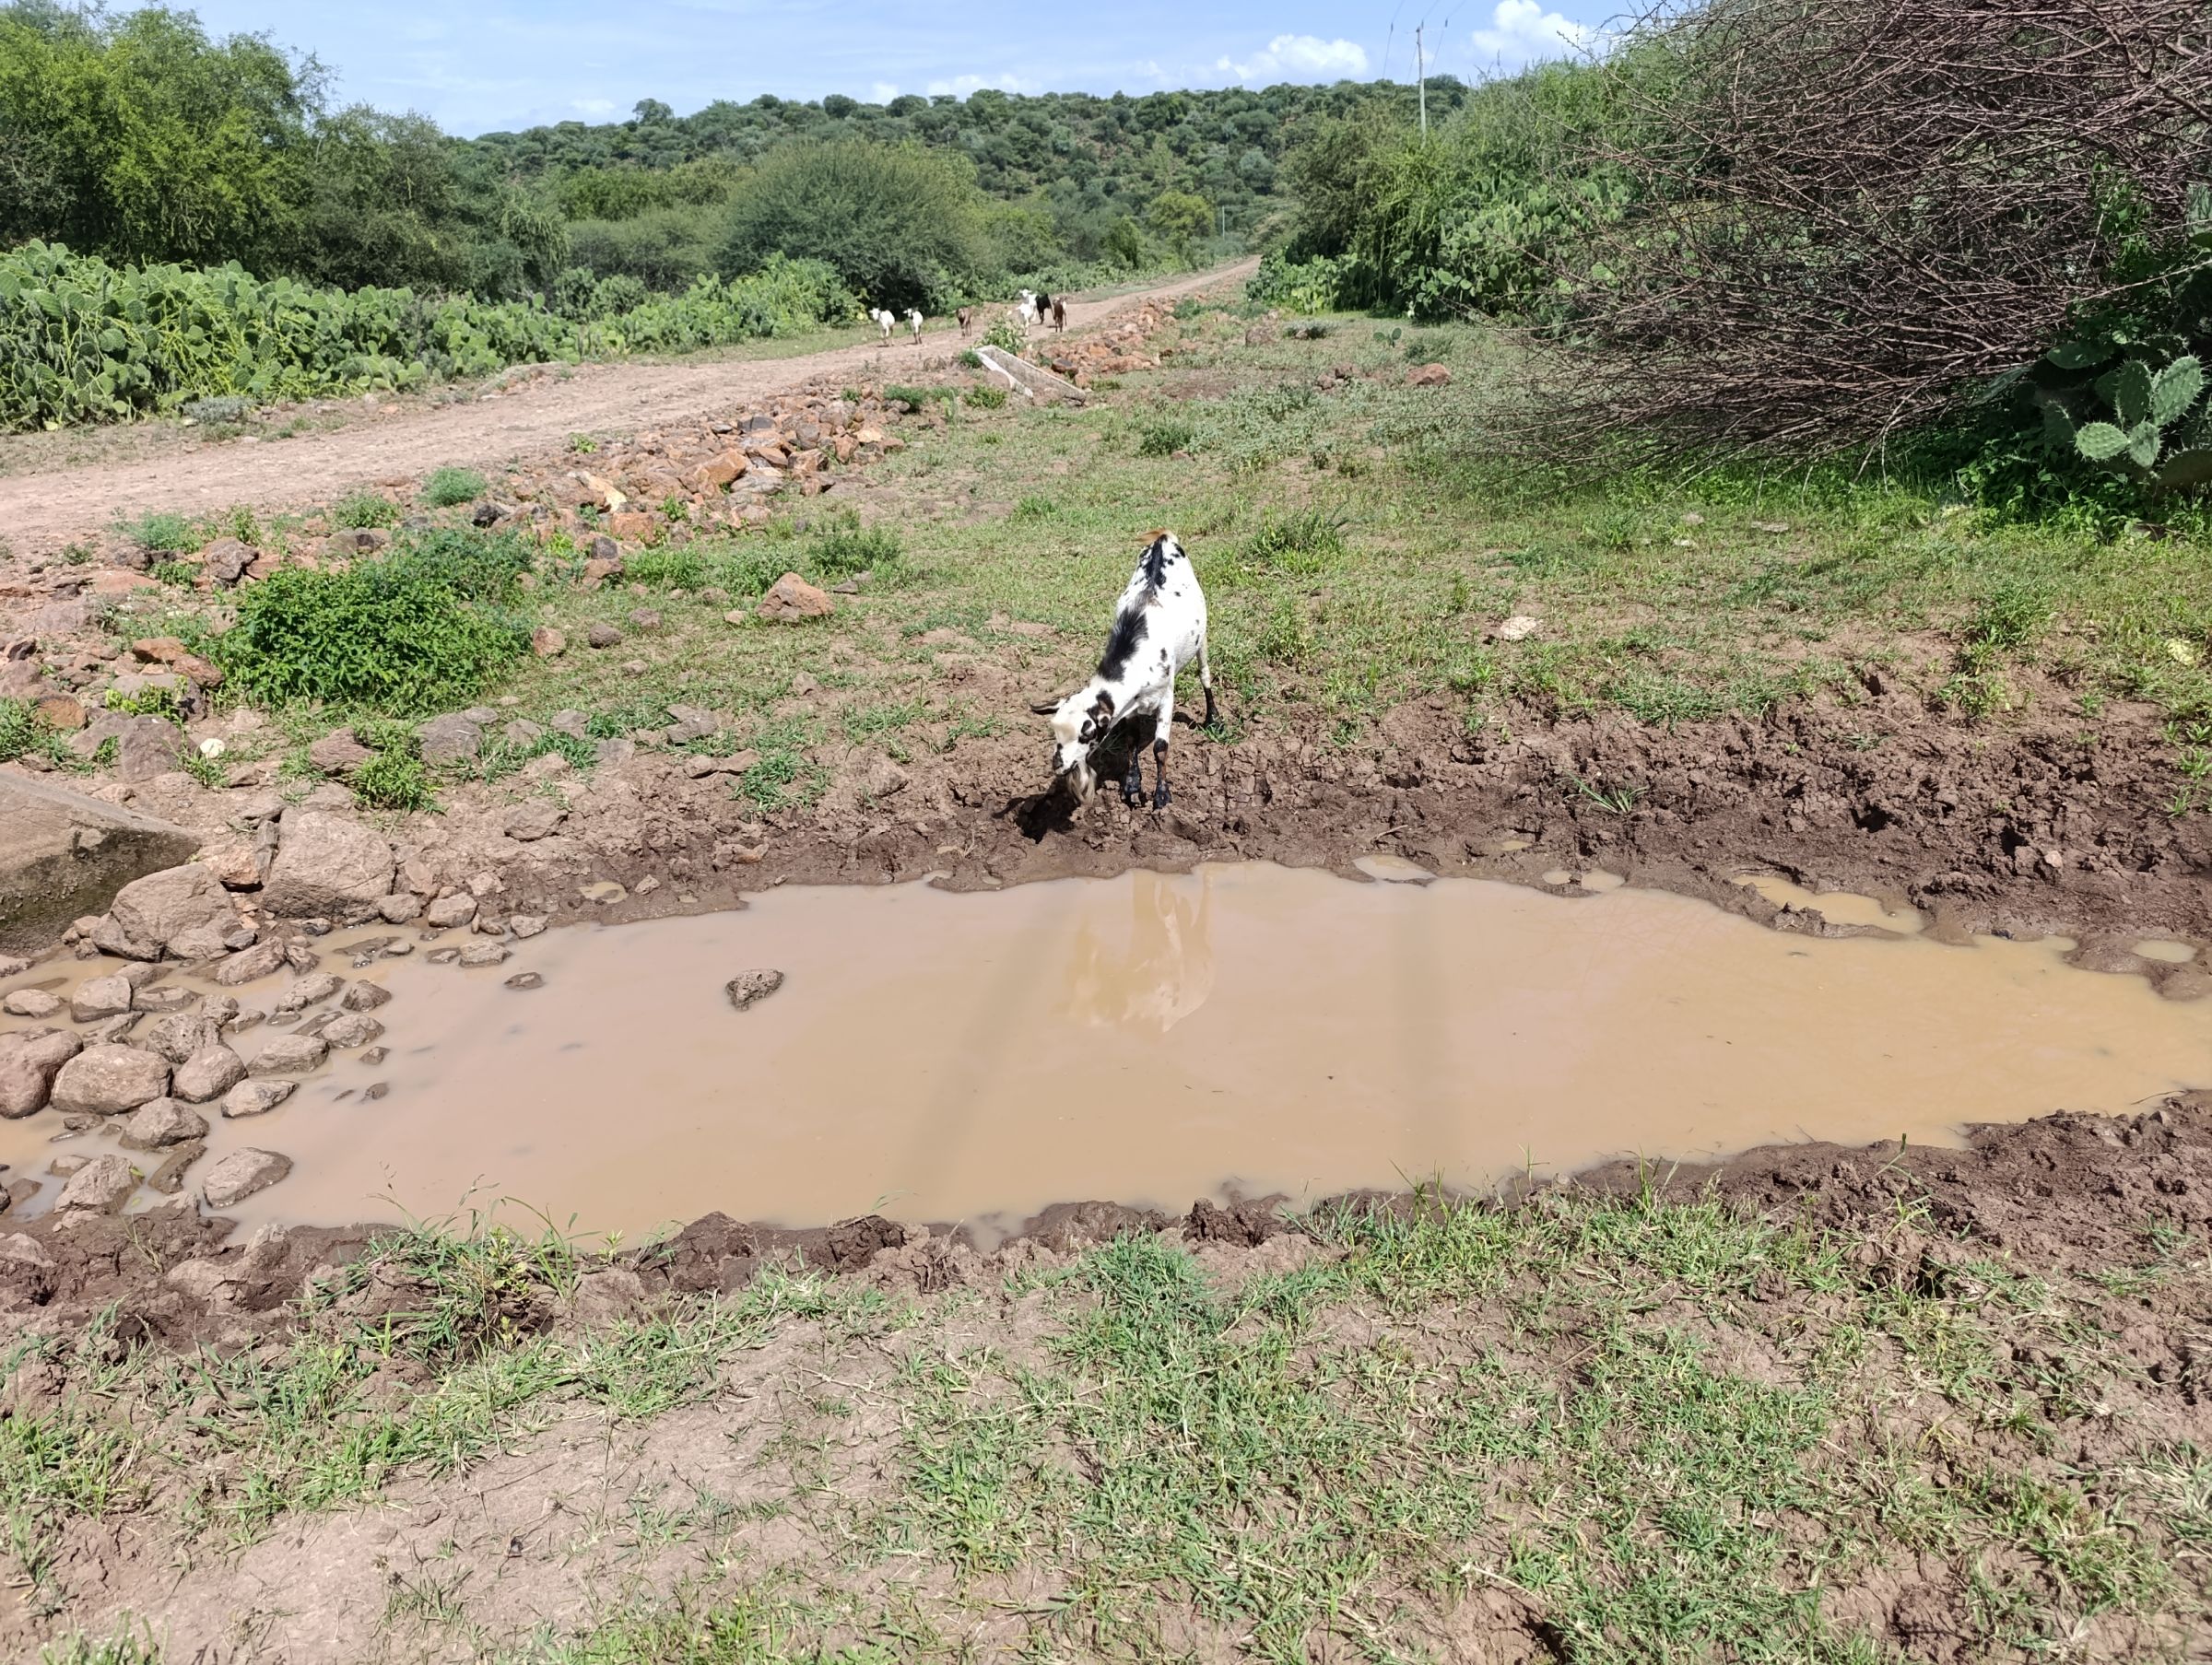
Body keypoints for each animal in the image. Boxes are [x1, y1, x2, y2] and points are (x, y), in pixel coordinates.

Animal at [1031, 532, 1215, 810]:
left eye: (1087, 734)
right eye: (1056, 731)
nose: (1059, 766)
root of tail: (1163, 537)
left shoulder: (1166, 697)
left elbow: (1160, 747)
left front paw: (1161, 795)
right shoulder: (1130, 704)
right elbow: (1132, 739)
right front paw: (1131, 785)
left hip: (1201, 637)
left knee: (1205, 673)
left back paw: (1213, 719)